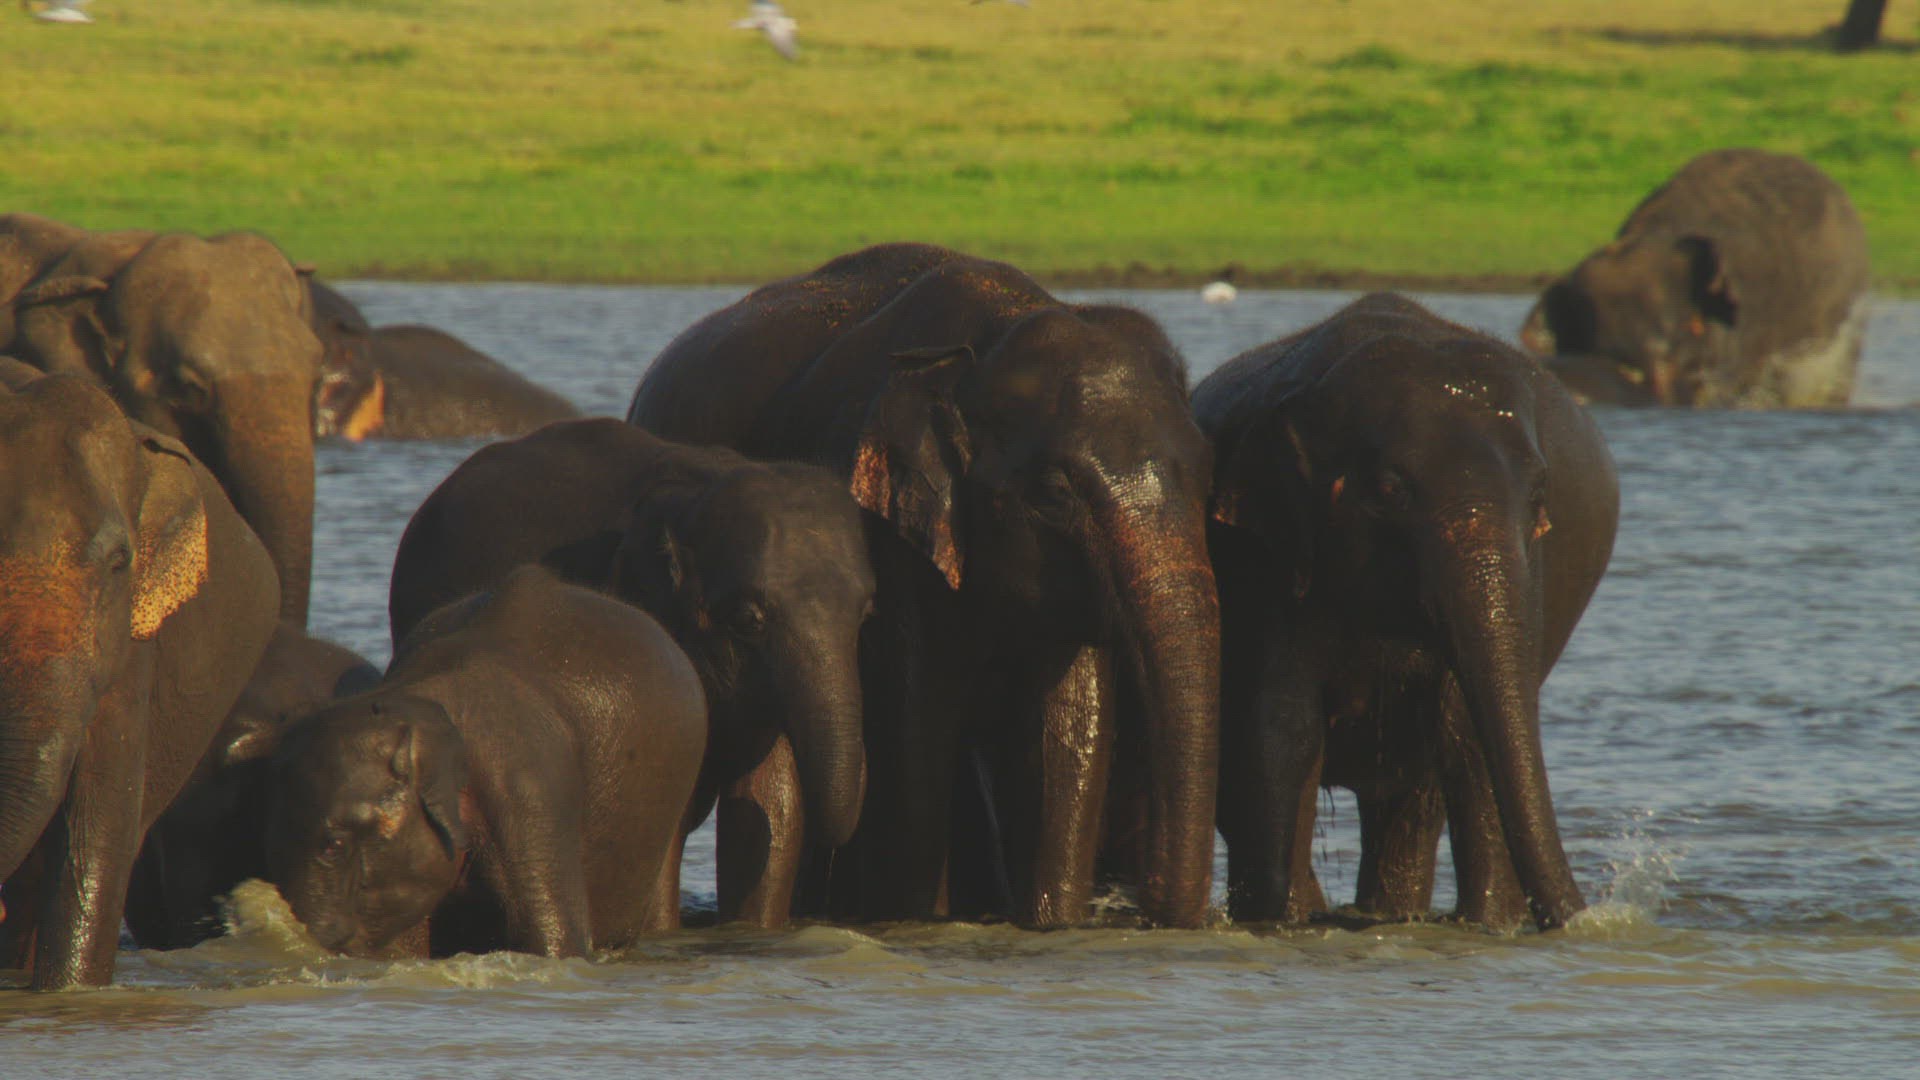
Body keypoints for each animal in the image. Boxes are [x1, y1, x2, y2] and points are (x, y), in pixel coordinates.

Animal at [626, 242, 1221, 930]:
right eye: (1054, 492)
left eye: (1207, 476)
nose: (1148, 908)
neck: (989, 341)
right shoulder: (887, 532)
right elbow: (916, 722)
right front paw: (917, 923)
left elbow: (1071, 730)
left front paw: (1053, 924)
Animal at [1197, 293, 1618, 931]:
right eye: (1390, 490)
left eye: (1539, 497)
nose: (1581, 919)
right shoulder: (1269, 556)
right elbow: (1282, 724)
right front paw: (1283, 921)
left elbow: (1467, 730)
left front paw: (1489, 925)